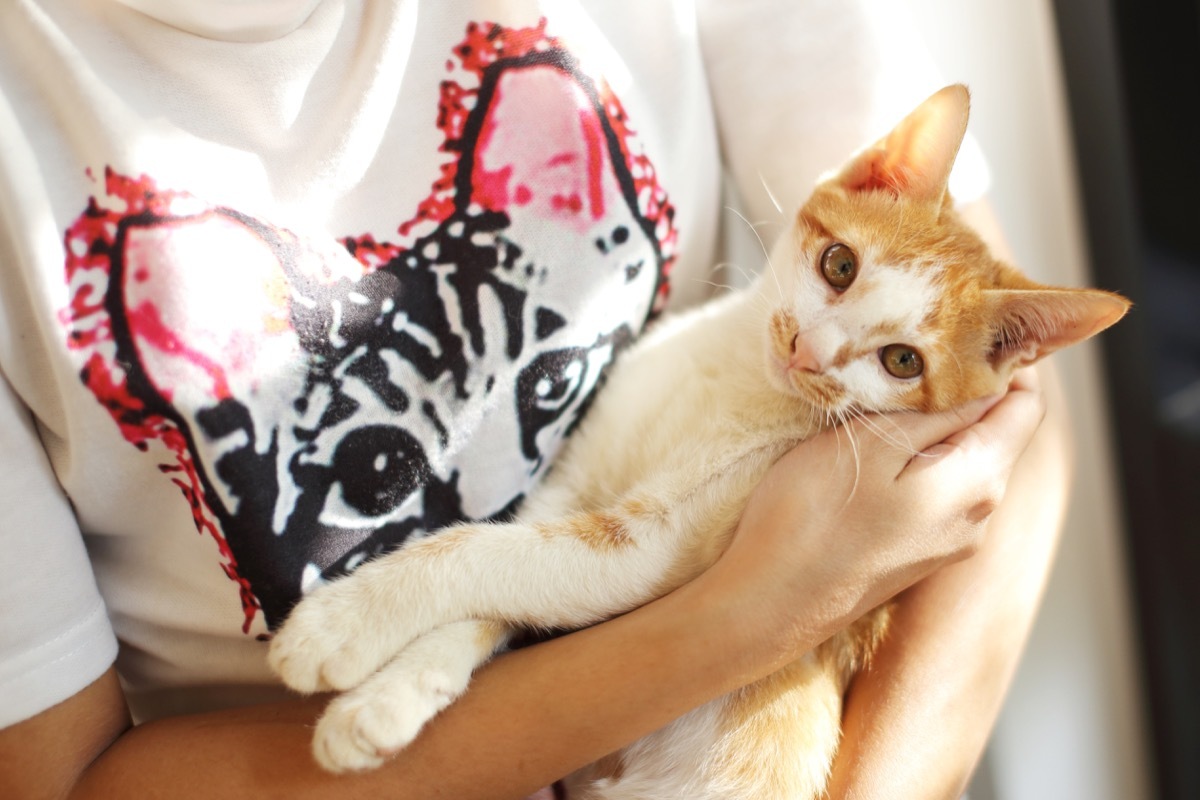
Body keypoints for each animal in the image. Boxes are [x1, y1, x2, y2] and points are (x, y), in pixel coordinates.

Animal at [267, 84, 1128, 796]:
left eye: (901, 361)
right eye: (840, 264)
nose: (808, 353)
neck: (732, 377)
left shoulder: (651, 543)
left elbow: (487, 553)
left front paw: (339, 626)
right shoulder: (569, 482)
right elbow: (495, 563)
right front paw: (388, 696)